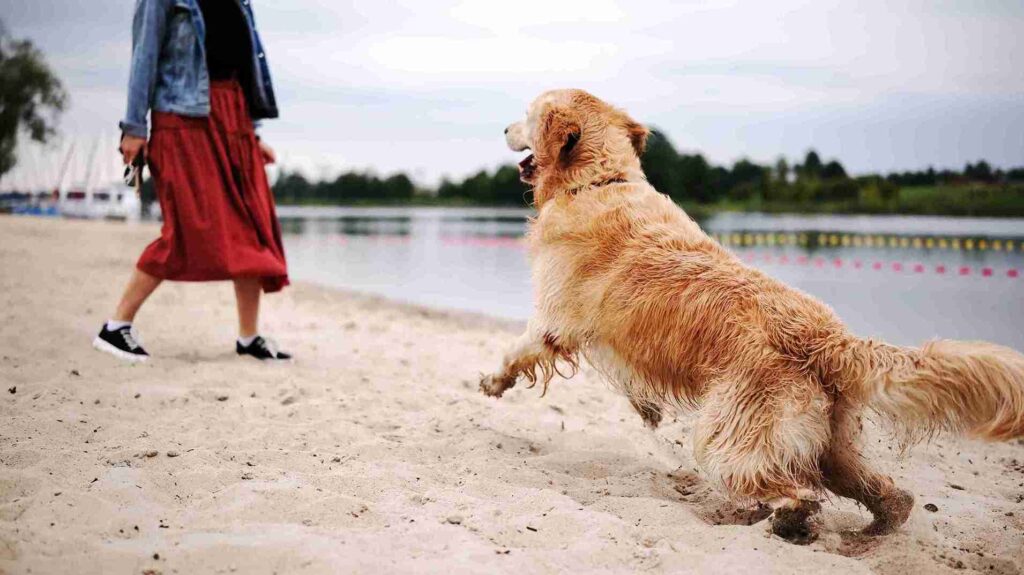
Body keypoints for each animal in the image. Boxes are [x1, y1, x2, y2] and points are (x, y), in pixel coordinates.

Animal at [479, 87, 1024, 540]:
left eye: (527, 114)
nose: (501, 128)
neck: (597, 180)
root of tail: (829, 336)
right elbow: (629, 384)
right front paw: (648, 410)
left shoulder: (556, 319)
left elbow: (517, 349)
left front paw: (492, 381)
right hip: (834, 444)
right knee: (890, 493)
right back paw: (874, 530)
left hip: (730, 438)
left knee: (798, 491)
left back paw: (788, 520)